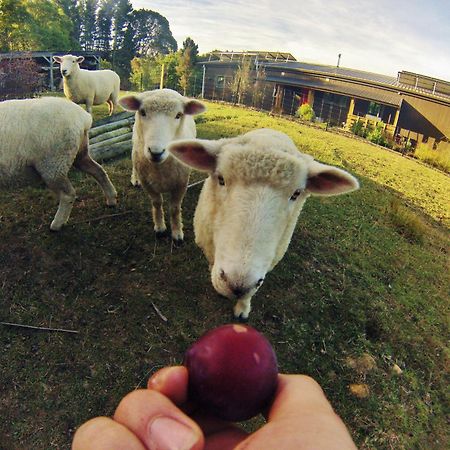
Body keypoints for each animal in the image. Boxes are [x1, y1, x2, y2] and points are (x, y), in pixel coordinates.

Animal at [0, 96, 118, 230]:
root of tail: (83, 117)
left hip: (53, 163)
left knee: (68, 194)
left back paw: (57, 224)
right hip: (79, 154)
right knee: (99, 171)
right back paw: (111, 199)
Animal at [118, 88, 205, 246]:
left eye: (178, 115)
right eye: (143, 112)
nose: (156, 152)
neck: (160, 168)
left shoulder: (181, 183)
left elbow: (175, 208)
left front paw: (177, 233)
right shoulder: (147, 182)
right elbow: (157, 202)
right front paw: (160, 227)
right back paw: (134, 179)